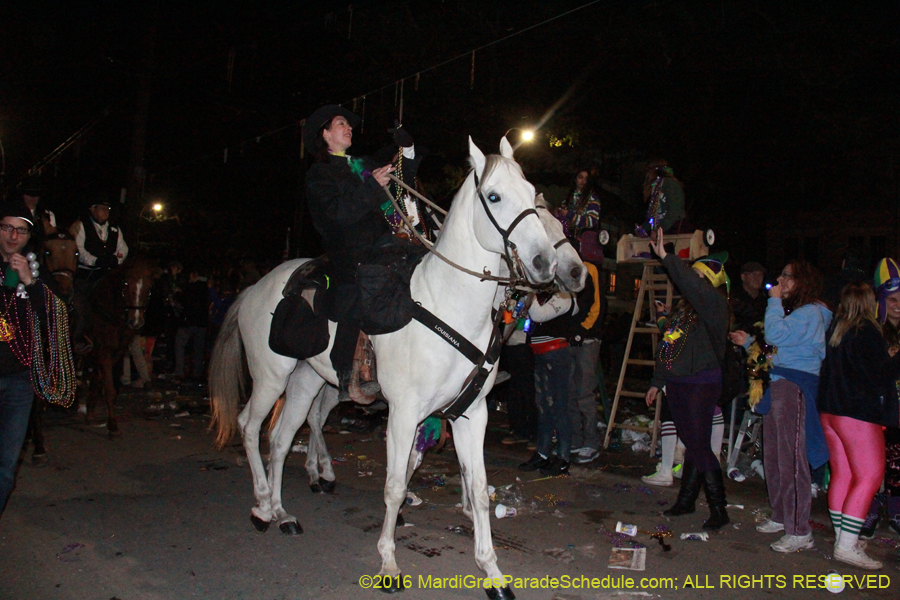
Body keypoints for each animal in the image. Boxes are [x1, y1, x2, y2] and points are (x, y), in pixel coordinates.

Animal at [85, 260, 155, 438]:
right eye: (126, 283)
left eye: (149, 286)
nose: (136, 322)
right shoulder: (103, 351)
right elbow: (109, 389)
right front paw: (113, 425)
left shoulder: (115, 353)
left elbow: (101, 382)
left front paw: (90, 413)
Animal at [298, 191, 588, 492]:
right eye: (542, 224)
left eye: (558, 224)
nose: (577, 273)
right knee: (310, 416)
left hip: (319, 376)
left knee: (314, 414)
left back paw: (319, 472)